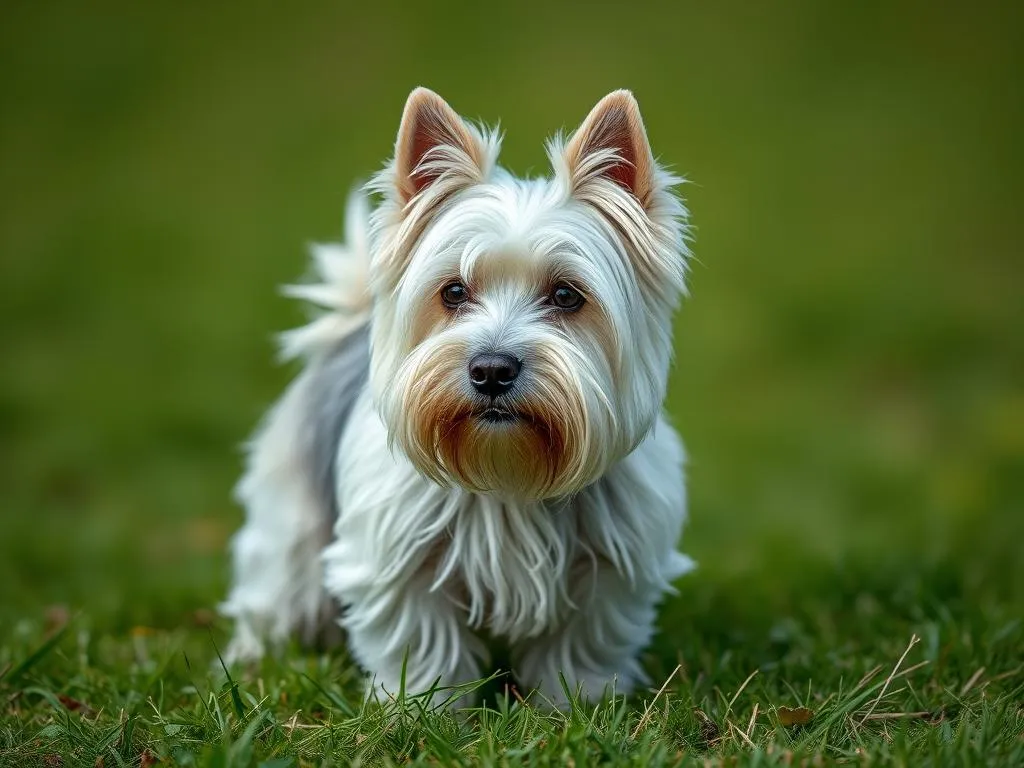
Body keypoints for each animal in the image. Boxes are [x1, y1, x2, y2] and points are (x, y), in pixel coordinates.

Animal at [223, 88, 696, 708]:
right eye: (453, 292)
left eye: (567, 295)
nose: (492, 370)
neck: (508, 472)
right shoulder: (399, 565)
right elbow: (424, 644)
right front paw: (426, 712)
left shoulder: (612, 570)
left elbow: (580, 646)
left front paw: (574, 708)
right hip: (290, 523)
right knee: (276, 589)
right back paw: (254, 658)